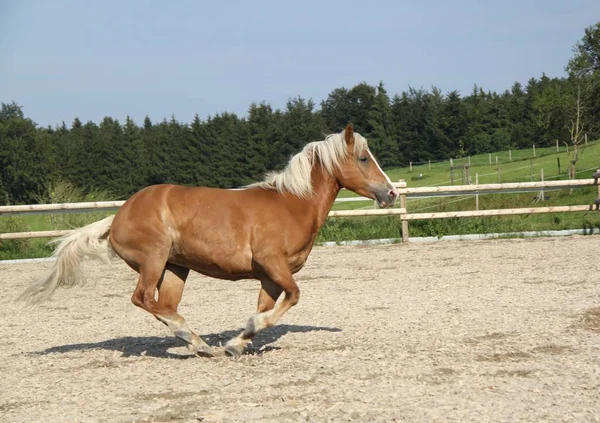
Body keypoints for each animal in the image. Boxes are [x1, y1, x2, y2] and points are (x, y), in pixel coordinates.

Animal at [18, 122, 400, 358]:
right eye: (363, 158)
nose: (392, 193)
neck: (292, 204)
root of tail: (118, 217)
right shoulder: (273, 265)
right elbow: (292, 297)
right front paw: (237, 338)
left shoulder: (269, 276)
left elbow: (266, 309)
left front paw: (237, 343)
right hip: (154, 260)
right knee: (143, 298)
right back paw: (194, 340)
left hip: (175, 269)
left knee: (164, 305)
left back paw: (198, 344)